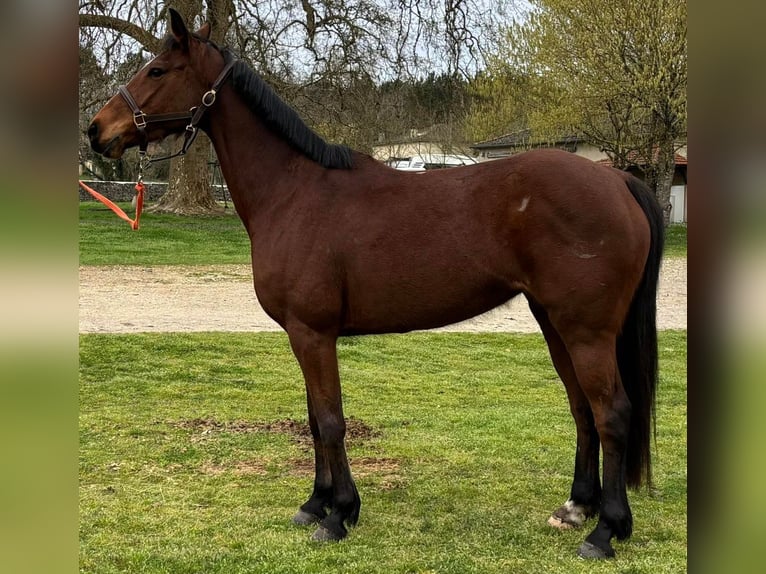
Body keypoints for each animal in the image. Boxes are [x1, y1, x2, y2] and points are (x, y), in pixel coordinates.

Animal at [87, 9, 664, 560]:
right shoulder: (301, 335)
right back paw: (577, 508)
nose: (97, 130)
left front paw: (339, 514)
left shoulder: (313, 333)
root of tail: (615, 179)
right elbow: (314, 421)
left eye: (157, 70)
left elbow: (331, 420)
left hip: (586, 331)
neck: (293, 193)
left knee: (612, 414)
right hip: (555, 323)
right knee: (582, 409)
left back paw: (606, 531)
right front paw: (315, 504)